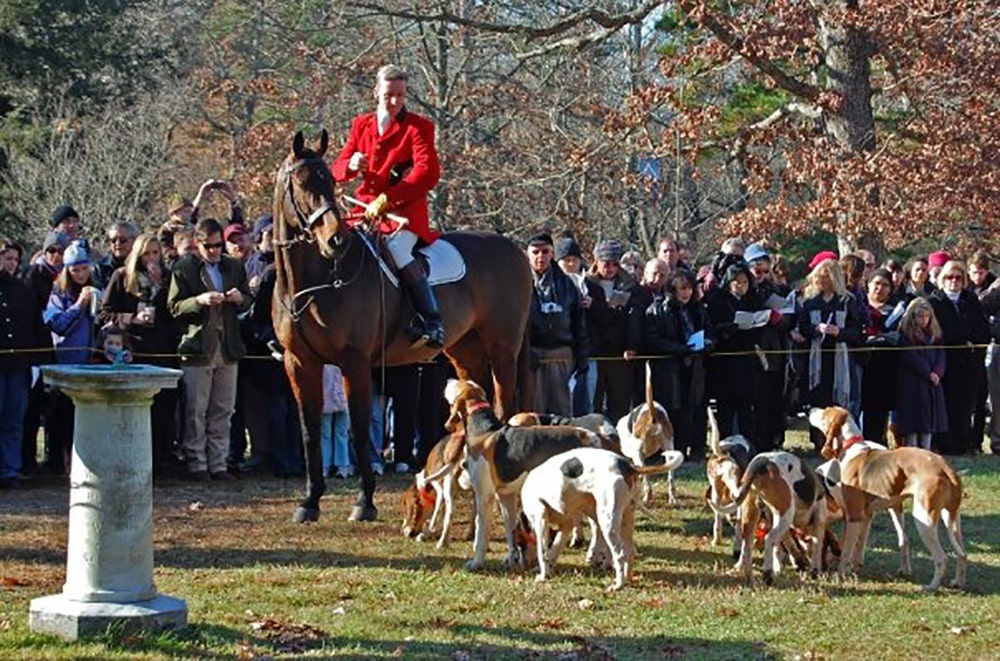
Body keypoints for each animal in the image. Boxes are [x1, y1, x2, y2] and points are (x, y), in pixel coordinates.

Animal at [270, 129, 536, 520]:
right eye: (302, 182)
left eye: (330, 182)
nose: (336, 240)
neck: (313, 280)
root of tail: (515, 249)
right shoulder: (299, 362)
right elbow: (309, 431)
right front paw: (309, 501)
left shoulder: (355, 362)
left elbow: (360, 430)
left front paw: (364, 502)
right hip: (465, 351)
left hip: (502, 348)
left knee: (504, 406)